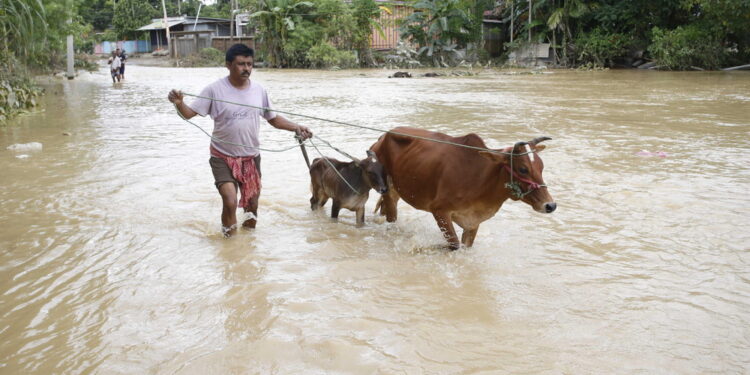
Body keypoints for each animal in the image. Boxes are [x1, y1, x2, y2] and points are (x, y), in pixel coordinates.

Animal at [372, 126, 560, 250]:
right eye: (523, 169)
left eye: (541, 167)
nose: (550, 205)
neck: (481, 179)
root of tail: (382, 137)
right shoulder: (439, 211)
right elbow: (454, 245)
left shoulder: (473, 222)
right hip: (387, 189)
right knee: (391, 218)